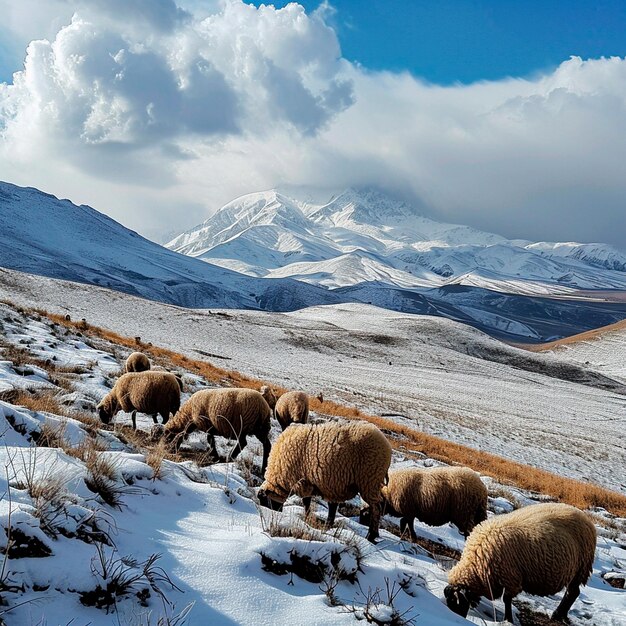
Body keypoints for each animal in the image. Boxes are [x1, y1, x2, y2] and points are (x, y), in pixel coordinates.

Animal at [256, 420, 388, 540]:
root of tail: (386, 444)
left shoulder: (305, 482)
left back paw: (371, 535)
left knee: (376, 508)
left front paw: (308, 518)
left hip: (370, 480)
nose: (272, 515)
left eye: (264, 501)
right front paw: (325, 524)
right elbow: (325, 505)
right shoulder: (323, 483)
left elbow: (307, 502)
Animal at [358, 464, 486, 536]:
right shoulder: (410, 511)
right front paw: (405, 535)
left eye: (366, 513)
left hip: (464, 514)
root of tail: (482, 489)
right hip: (474, 515)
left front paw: (412, 537)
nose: (360, 523)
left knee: (469, 533)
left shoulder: (408, 510)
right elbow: (405, 523)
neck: (387, 494)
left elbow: (406, 523)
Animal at [444, 500, 596, 620]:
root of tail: (585, 517)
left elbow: (507, 600)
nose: (457, 618)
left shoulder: (511, 578)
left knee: (572, 593)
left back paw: (557, 615)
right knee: (573, 593)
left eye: (456, 602)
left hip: (581, 568)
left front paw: (508, 619)